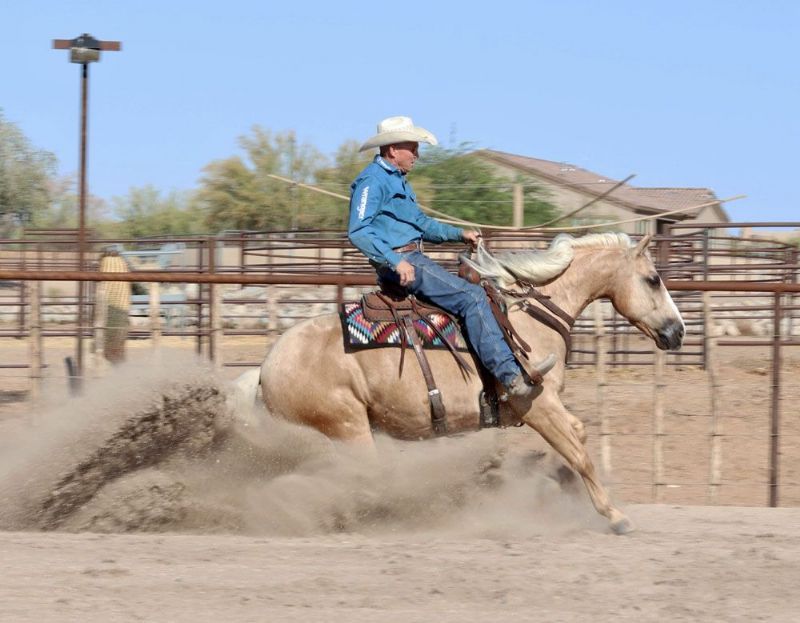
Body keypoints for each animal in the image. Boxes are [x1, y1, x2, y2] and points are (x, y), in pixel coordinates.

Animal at [255, 232, 684, 534]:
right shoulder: (538, 405)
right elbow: (579, 454)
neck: (531, 314)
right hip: (348, 430)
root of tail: (265, 370)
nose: (678, 332)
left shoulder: (553, 407)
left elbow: (577, 438)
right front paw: (614, 516)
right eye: (653, 279)